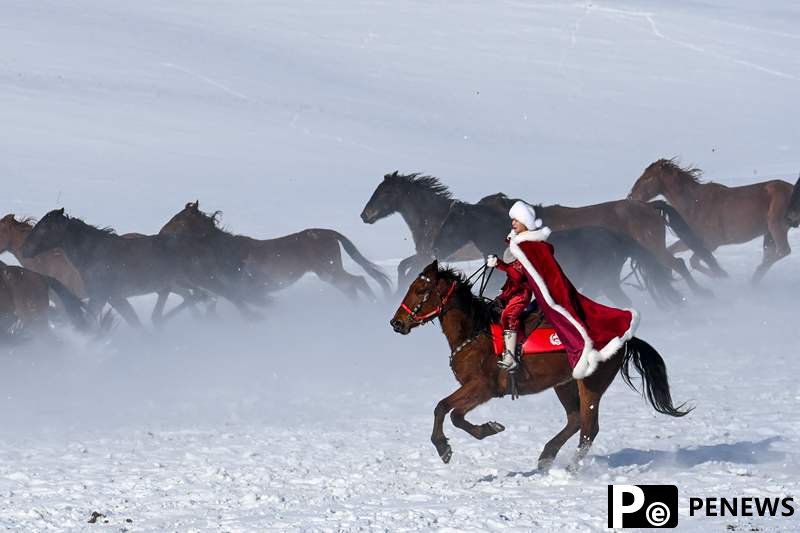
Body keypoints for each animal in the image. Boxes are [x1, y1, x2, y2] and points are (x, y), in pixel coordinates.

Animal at [159, 201, 390, 300]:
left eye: (178, 220)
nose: (161, 233)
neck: (227, 252)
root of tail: (330, 233)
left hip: (330, 271)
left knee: (357, 282)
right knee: (354, 285)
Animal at [390, 260, 692, 468]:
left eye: (420, 289)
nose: (396, 323)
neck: (475, 331)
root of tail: (624, 338)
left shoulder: (482, 387)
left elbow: (445, 409)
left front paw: (446, 446)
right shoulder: (476, 389)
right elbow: (453, 414)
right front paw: (487, 429)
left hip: (591, 384)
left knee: (588, 428)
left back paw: (571, 468)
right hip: (564, 383)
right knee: (575, 420)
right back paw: (547, 455)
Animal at [632, 157, 792, 282]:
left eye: (647, 178)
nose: (632, 196)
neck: (694, 203)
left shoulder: (712, 243)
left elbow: (695, 260)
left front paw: (722, 275)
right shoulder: (692, 239)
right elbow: (676, 252)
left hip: (776, 225)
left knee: (783, 251)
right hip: (769, 233)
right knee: (771, 253)